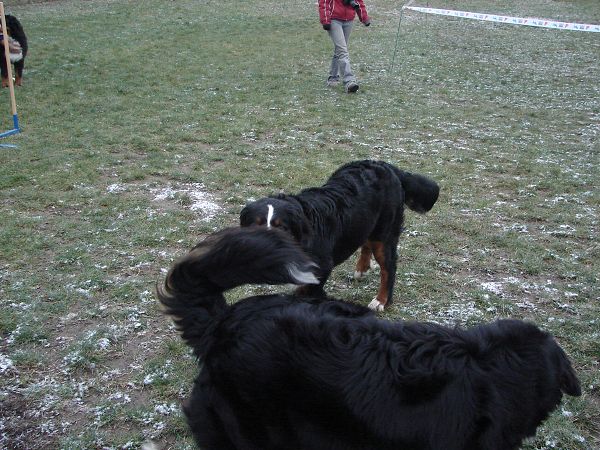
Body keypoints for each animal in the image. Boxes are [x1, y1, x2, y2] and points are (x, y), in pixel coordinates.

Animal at [240, 160, 440, 312]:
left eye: (282, 227)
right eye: (255, 225)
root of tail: (386, 165)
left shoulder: (321, 268)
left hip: (384, 234)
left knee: (388, 268)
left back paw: (381, 300)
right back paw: (361, 269)